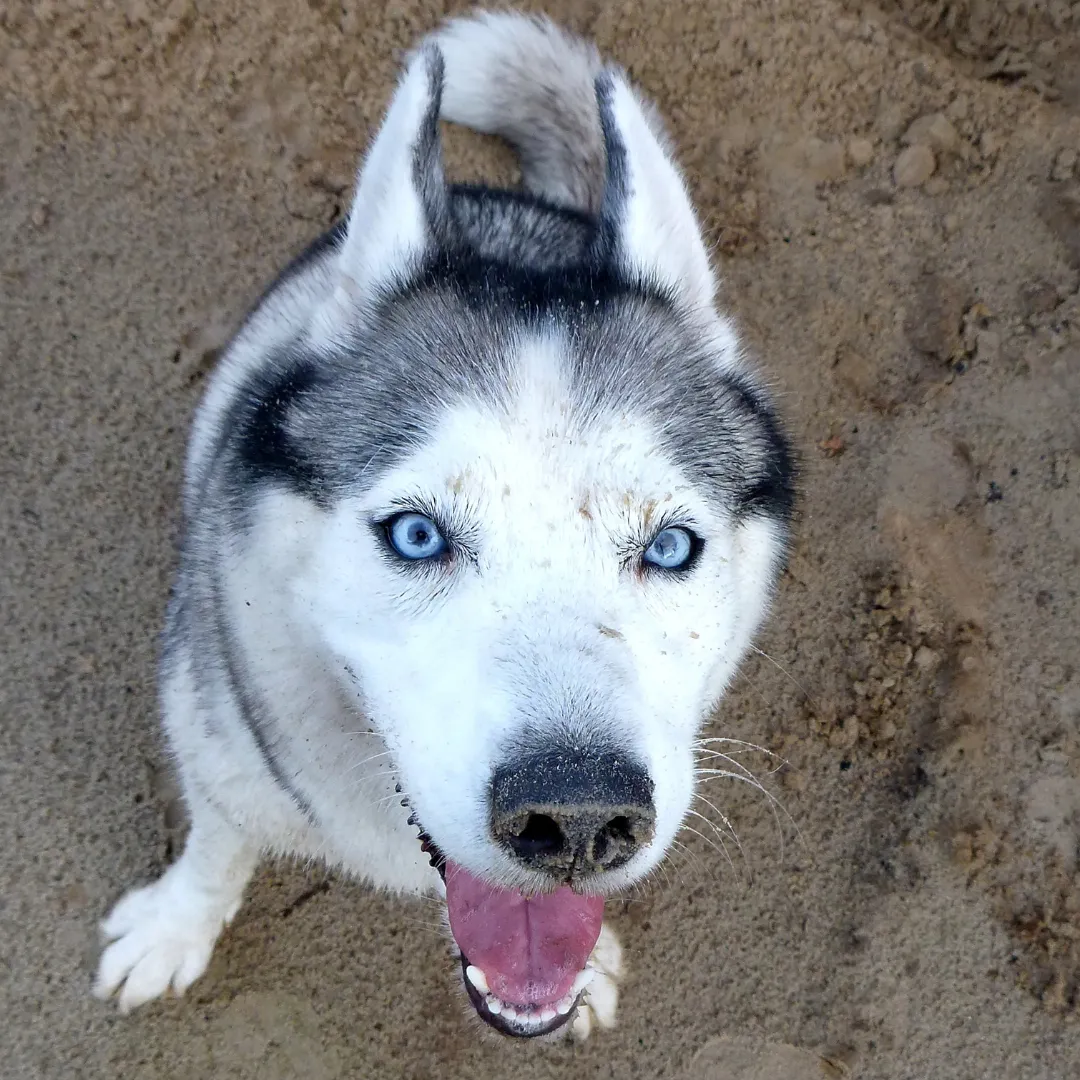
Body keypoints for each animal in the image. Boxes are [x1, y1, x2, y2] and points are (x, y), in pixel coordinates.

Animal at [93, 9, 794, 1040]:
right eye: (416, 536)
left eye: (670, 548)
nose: (576, 818)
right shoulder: (217, 744)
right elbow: (218, 848)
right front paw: (175, 928)